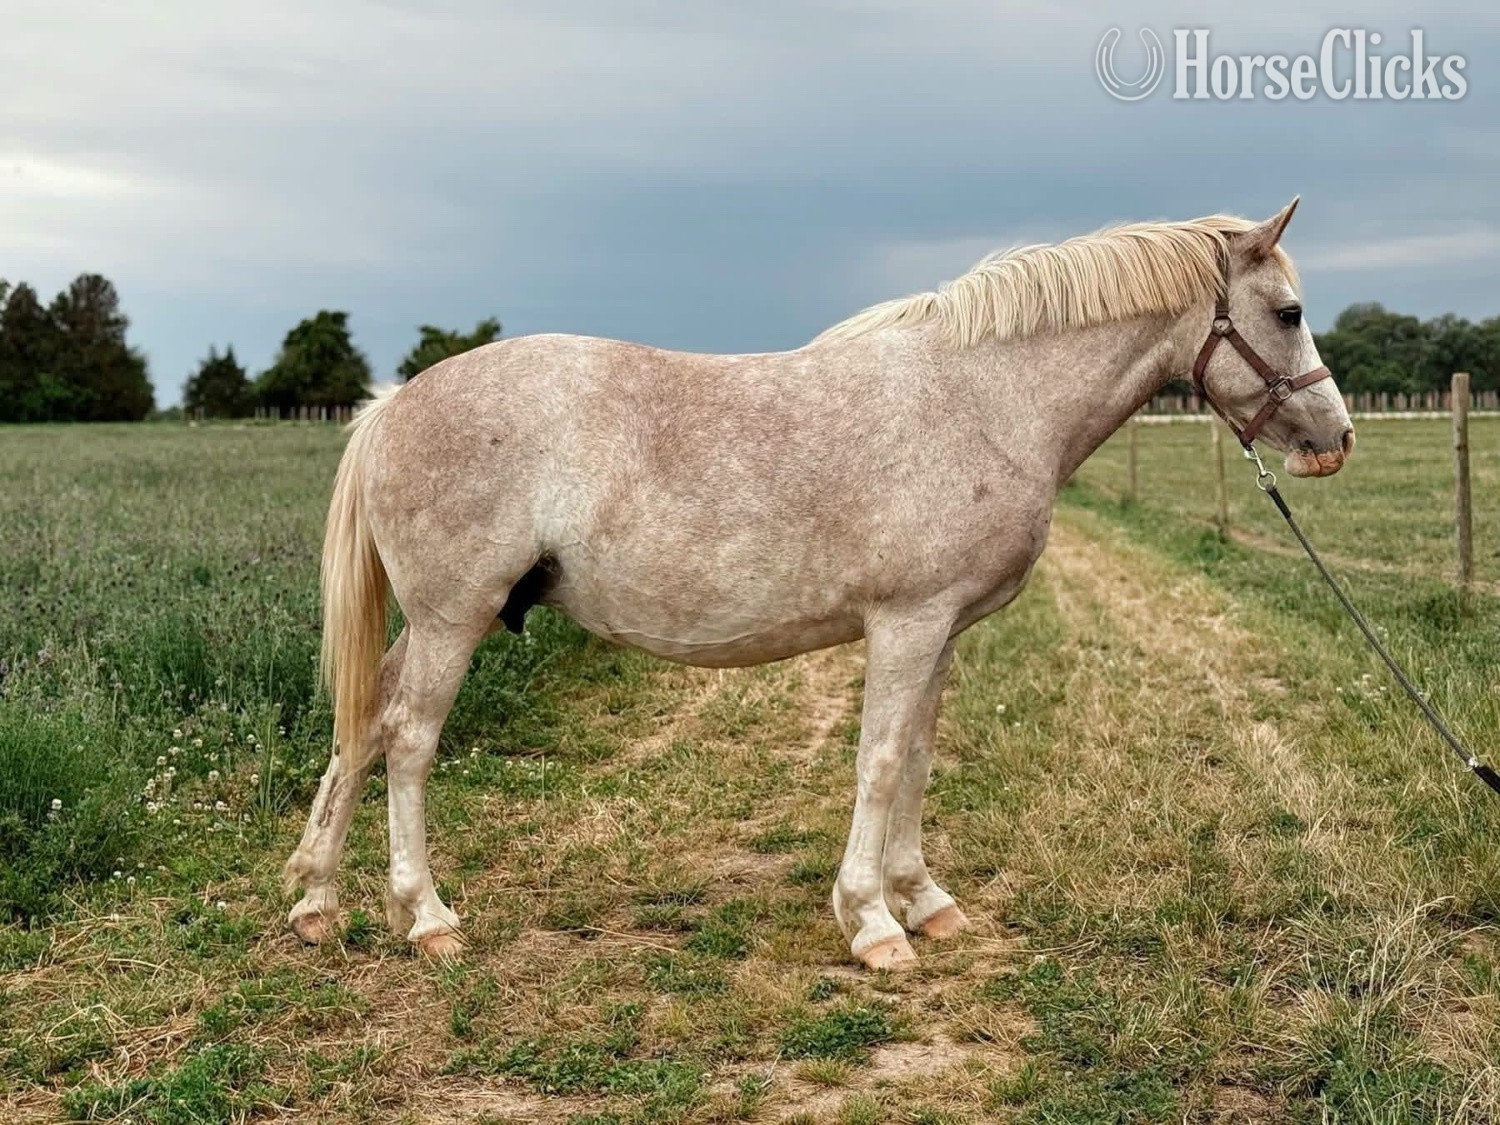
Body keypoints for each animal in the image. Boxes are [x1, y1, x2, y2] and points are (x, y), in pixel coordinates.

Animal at [284, 198, 1354, 970]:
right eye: (1290, 312)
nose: (1337, 439)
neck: (984, 399)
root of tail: (393, 405)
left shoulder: (942, 630)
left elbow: (917, 756)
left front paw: (926, 902)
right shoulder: (907, 623)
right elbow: (878, 762)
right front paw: (873, 923)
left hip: (428, 625)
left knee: (365, 724)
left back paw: (316, 900)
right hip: (453, 621)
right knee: (410, 743)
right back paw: (425, 916)